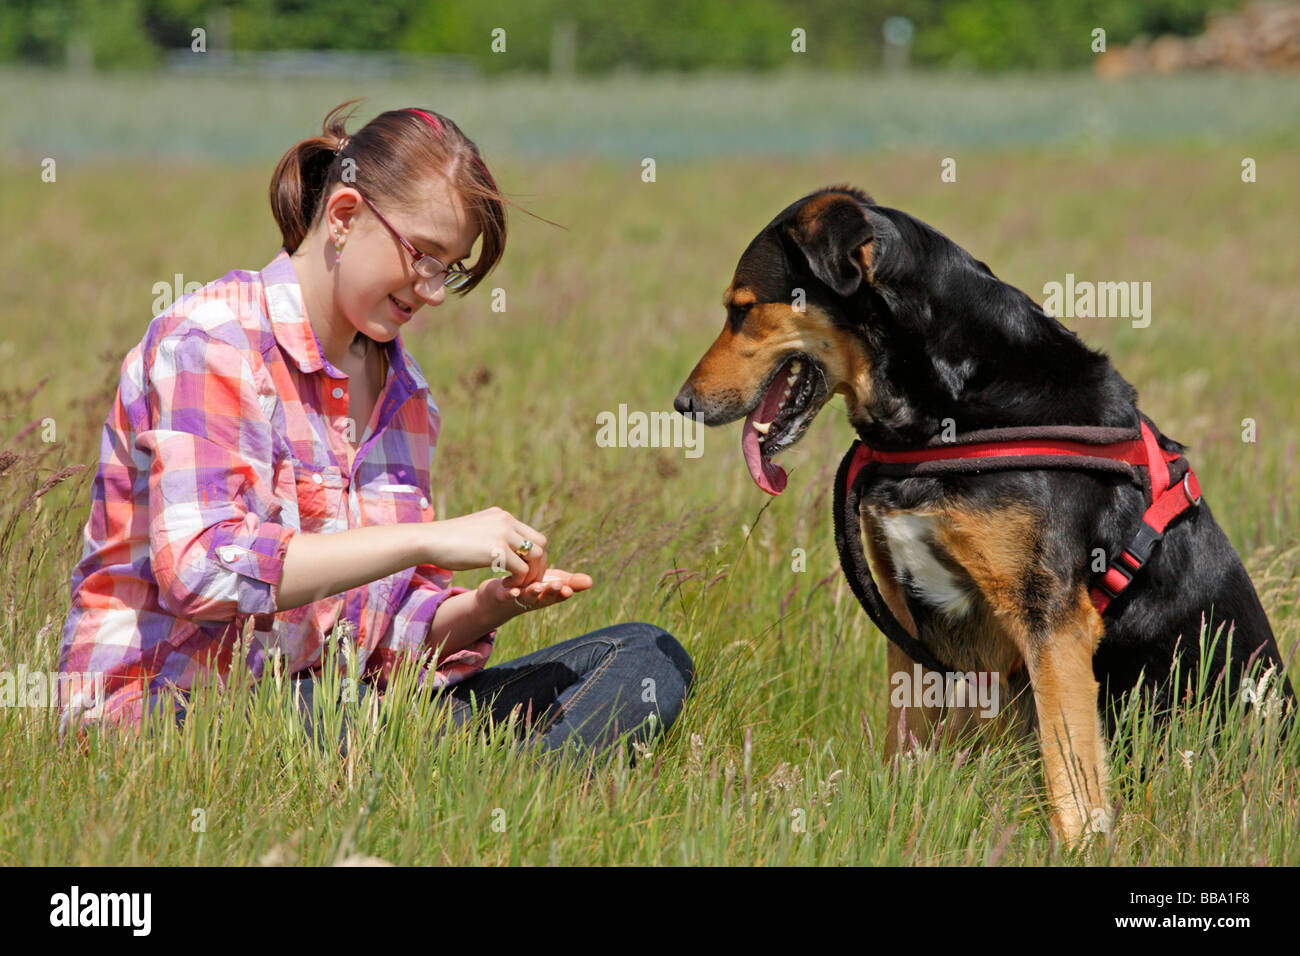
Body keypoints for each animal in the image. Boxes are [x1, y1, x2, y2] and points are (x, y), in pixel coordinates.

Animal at [676, 184, 1294, 842]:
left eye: (741, 309)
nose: (682, 404)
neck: (946, 410)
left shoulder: (1051, 622)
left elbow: (1071, 770)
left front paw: (1079, 846)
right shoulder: (904, 615)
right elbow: (905, 740)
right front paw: (896, 817)